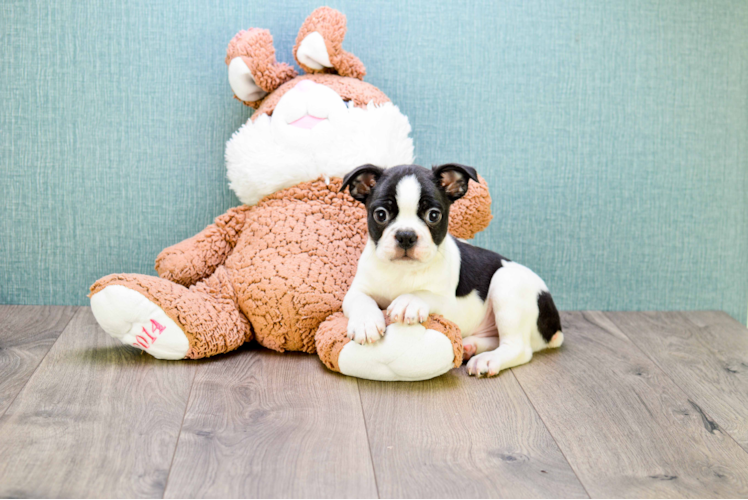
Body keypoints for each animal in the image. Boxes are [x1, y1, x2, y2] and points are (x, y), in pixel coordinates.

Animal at [338, 162, 560, 376]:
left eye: (433, 215)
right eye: (380, 214)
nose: (406, 235)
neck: (403, 271)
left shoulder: (448, 304)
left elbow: (424, 293)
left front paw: (408, 301)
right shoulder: (357, 290)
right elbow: (361, 300)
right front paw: (365, 323)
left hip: (506, 284)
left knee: (519, 348)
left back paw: (488, 360)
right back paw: (471, 346)